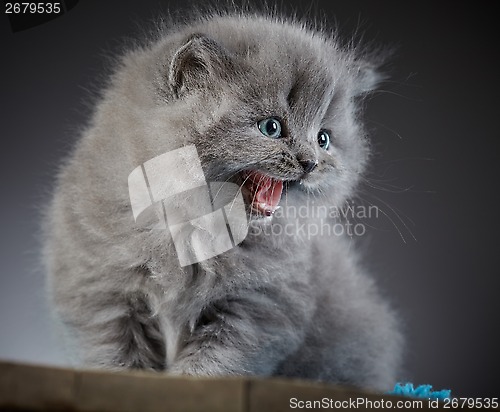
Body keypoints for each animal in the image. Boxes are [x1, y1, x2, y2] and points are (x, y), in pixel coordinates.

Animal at [43, 8, 402, 390]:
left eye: (324, 139)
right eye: (271, 127)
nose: (310, 163)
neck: (190, 224)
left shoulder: (253, 310)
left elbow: (211, 368)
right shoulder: (103, 300)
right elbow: (116, 364)